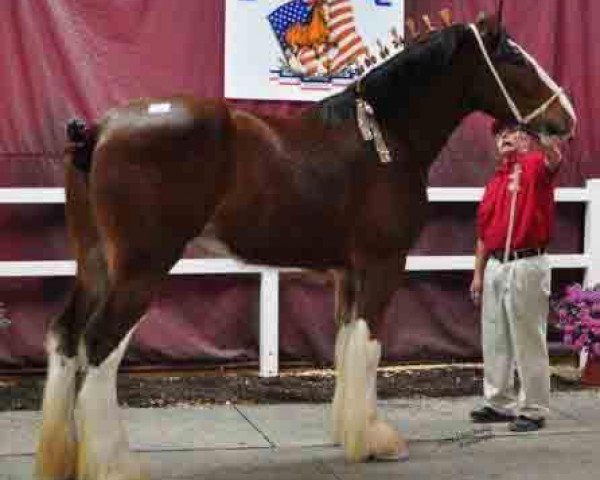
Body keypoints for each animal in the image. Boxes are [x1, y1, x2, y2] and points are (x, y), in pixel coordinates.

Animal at [34, 14, 576, 480]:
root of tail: (100, 129)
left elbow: (346, 344)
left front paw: (350, 432)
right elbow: (371, 348)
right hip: (141, 270)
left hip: (95, 264)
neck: (384, 137)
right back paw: (114, 464)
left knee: (66, 337)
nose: (566, 118)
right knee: (99, 346)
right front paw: (376, 441)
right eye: (515, 58)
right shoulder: (383, 265)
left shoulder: (349, 273)